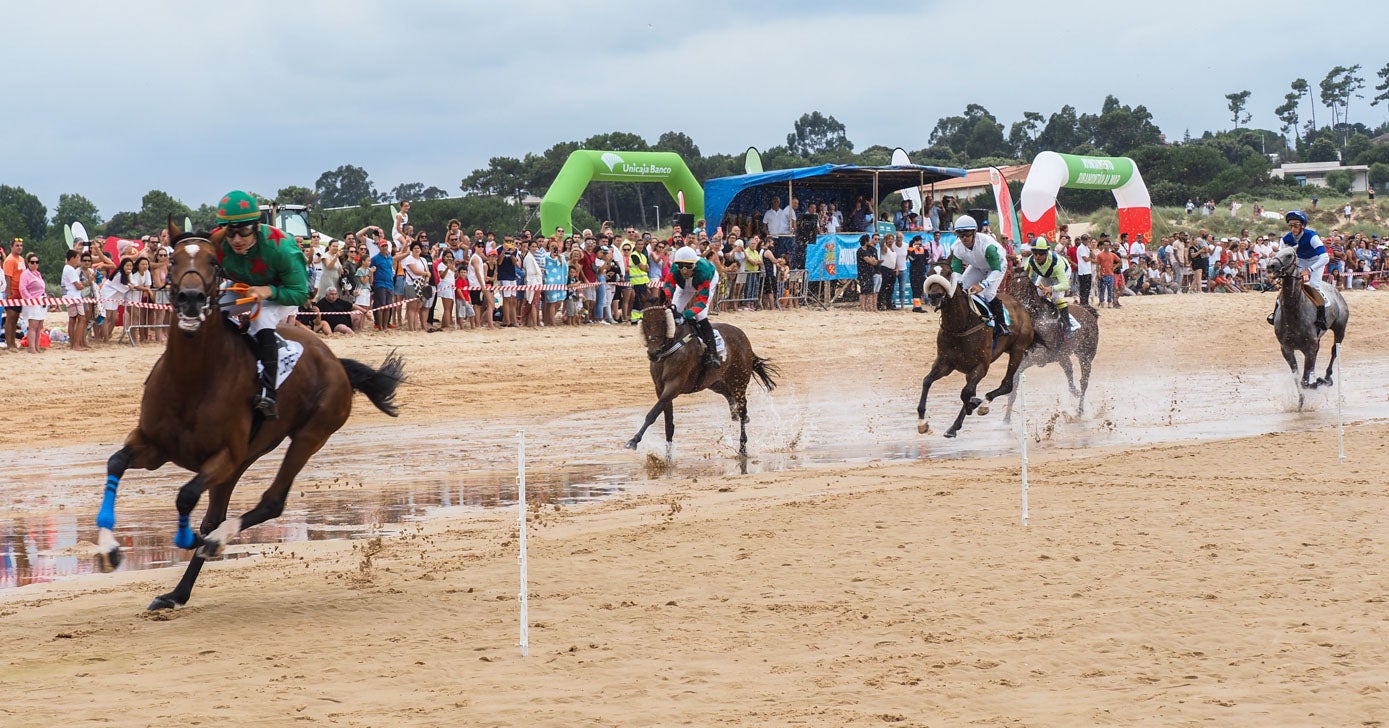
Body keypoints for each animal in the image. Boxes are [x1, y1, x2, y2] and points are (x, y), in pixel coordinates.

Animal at [93, 220, 402, 608]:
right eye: (172, 259)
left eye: (213, 262)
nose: (191, 299)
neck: (192, 379)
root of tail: (336, 362)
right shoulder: (154, 446)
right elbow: (116, 462)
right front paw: (109, 548)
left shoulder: (223, 455)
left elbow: (185, 496)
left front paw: (193, 540)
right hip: (246, 458)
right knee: (216, 516)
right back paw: (178, 592)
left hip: (309, 434)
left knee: (270, 502)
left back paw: (212, 544)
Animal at [625, 304, 777, 458]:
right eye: (644, 322)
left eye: (663, 321)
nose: (653, 353)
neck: (672, 346)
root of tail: (742, 336)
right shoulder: (660, 388)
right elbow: (668, 424)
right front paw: (667, 457)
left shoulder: (674, 386)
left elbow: (653, 414)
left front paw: (633, 441)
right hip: (714, 382)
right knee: (729, 395)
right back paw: (737, 415)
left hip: (739, 381)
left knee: (742, 408)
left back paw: (742, 446)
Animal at [922, 272, 1033, 439]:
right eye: (929, 273)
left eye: (947, 274)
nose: (934, 295)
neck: (960, 328)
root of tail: (1022, 308)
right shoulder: (945, 363)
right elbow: (927, 380)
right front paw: (922, 422)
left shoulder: (980, 366)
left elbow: (966, 393)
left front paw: (974, 404)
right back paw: (955, 425)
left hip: (1017, 350)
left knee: (1007, 385)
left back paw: (982, 405)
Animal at [1005, 263, 1100, 416]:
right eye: (1012, 285)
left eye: (1026, 286)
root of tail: (1088, 311)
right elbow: (1013, 385)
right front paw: (1005, 419)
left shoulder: (1039, 356)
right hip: (1062, 356)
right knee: (1069, 373)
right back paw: (1075, 393)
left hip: (1086, 354)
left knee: (1084, 381)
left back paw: (1080, 410)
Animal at [1272, 247, 1344, 408]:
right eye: (1276, 251)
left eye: (1289, 255)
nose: (1270, 265)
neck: (1293, 312)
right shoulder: (1287, 349)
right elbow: (1297, 378)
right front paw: (1300, 402)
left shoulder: (1309, 347)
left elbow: (1305, 381)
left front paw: (1317, 383)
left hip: (1340, 329)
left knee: (1334, 351)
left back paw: (1326, 378)